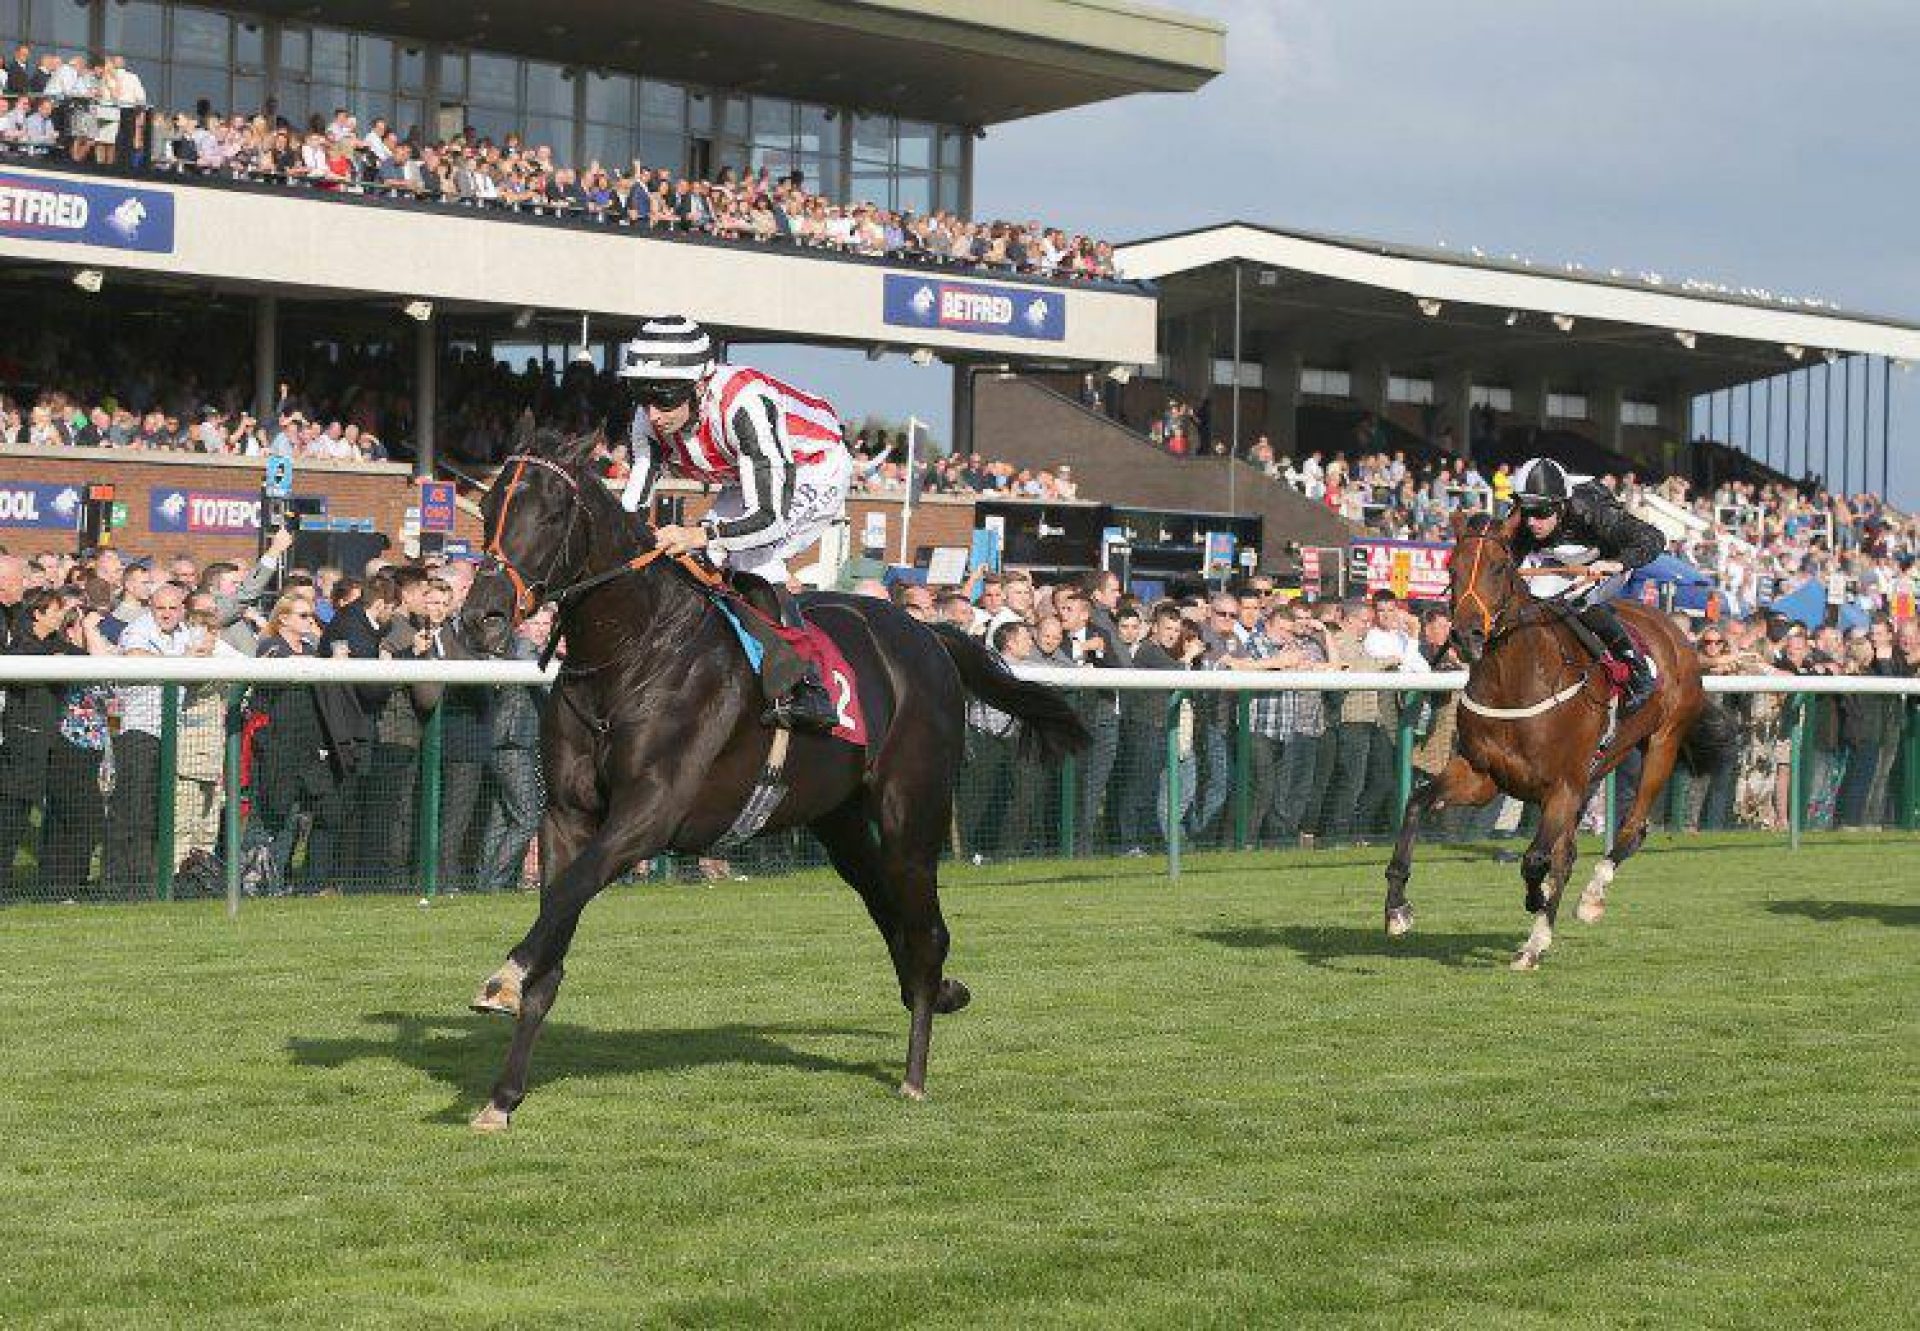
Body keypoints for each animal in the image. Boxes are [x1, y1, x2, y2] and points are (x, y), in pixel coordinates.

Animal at [449, 430, 1082, 1129]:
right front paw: (502, 1097)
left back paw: (916, 1071)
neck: (632, 654)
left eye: (553, 514)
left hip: (910, 815)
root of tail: (928, 634)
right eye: (487, 509)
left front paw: (503, 979)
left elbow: (568, 895)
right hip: (840, 824)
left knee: (925, 929)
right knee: (889, 910)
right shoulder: (566, 815)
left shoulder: (648, 817)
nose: (481, 616)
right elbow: (557, 932)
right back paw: (942, 990)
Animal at [1390, 507, 1735, 964]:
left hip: (1662, 743)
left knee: (1631, 828)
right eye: (1452, 568)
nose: (1467, 634)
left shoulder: (1562, 785)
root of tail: (1676, 630)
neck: (1516, 681)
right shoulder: (1483, 775)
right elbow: (1415, 804)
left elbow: (1535, 859)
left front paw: (1536, 903)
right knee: (1569, 853)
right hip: (1597, 770)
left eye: (1499, 567)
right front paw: (1397, 908)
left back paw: (1587, 901)